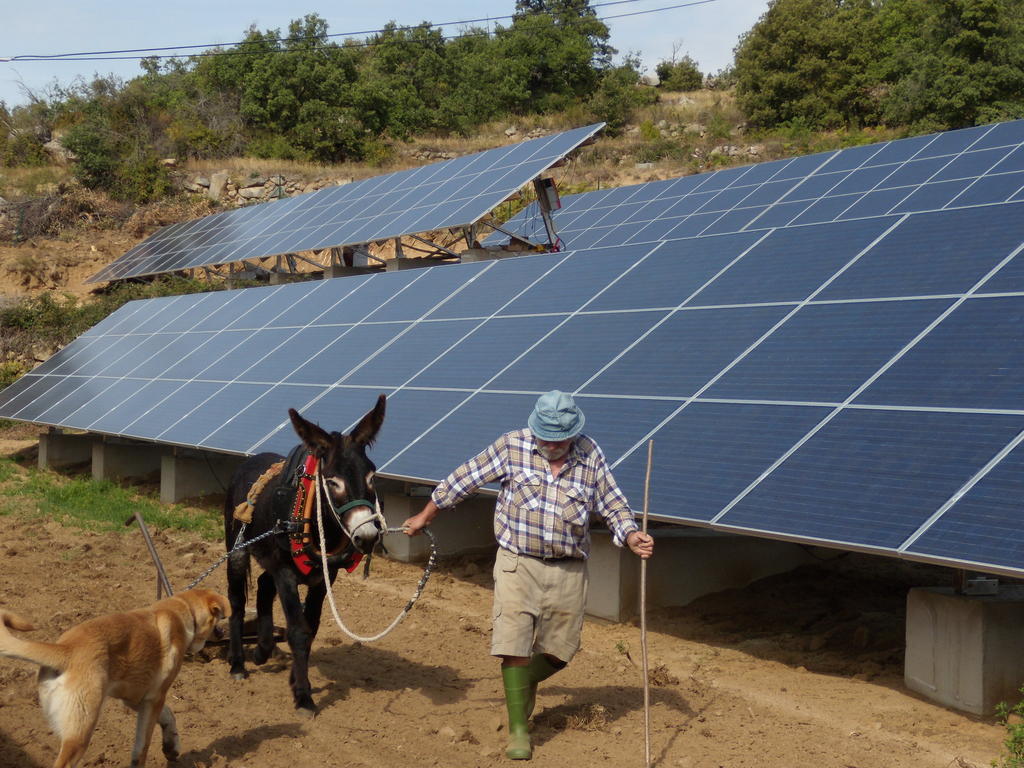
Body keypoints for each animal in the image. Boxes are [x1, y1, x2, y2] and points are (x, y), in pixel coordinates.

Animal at [0, 593, 228, 765]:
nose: (222, 632)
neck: (181, 611)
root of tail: (66, 650)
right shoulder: (154, 698)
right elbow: (142, 747)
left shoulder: (137, 698)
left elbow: (169, 715)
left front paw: (171, 747)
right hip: (80, 731)